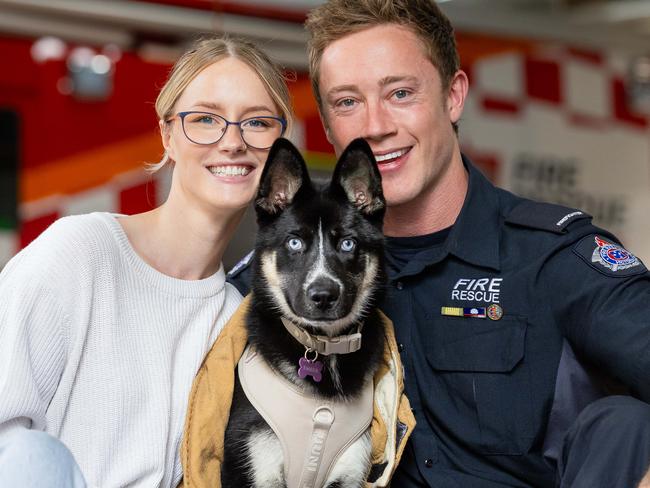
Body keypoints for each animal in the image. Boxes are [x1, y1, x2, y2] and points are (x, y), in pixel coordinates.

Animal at [223, 138, 384, 488]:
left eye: (348, 243)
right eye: (294, 242)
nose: (323, 295)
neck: (324, 350)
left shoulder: (350, 472)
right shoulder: (254, 466)